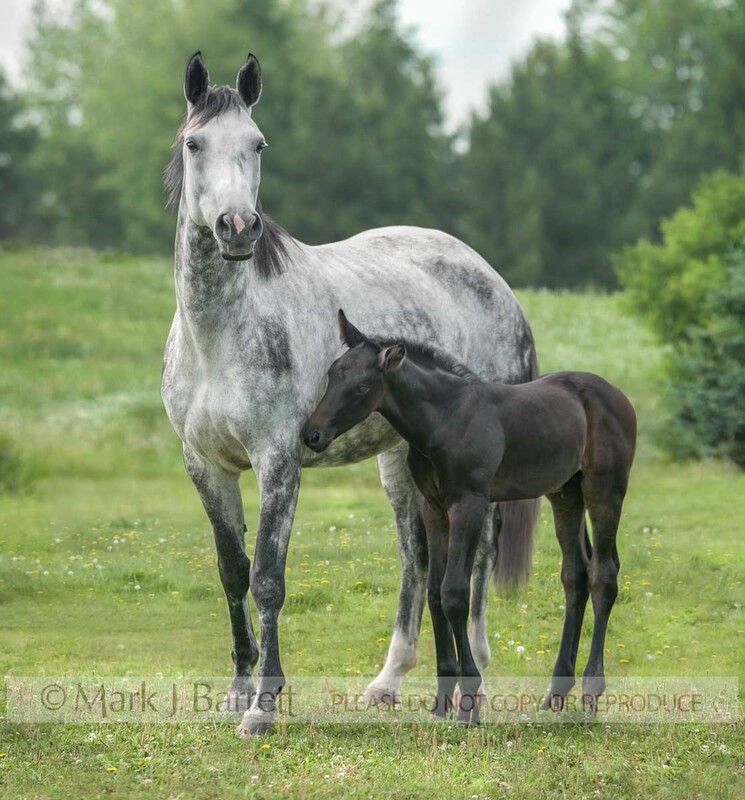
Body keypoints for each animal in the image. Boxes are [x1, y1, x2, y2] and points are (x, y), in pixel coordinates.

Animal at [160, 51, 540, 736]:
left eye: (257, 144)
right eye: (194, 143)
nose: (237, 227)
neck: (219, 336)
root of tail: (493, 280)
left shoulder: (278, 462)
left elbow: (268, 579)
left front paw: (263, 707)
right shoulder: (205, 466)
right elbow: (232, 574)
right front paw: (236, 690)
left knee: (476, 558)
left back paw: (477, 671)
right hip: (402, 465)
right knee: (416, 559)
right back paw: (389, 681)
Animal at [303, 311, 637, 723]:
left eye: (362, 386)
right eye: (333, 374)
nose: (312, 434)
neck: (444, 420)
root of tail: (618, 395)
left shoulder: (469, 503)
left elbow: (455, 594)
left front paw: (469, 704)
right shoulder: (433, 508)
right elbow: (434, 593)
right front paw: (441, 702)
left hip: (605, 489)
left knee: (603, 575)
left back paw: (591, 691)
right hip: (565, 494)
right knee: (575, 575)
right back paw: (555, 694)